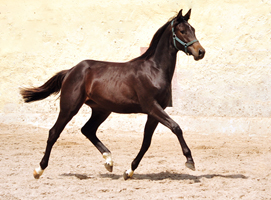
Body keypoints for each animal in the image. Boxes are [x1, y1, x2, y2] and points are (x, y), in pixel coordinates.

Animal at [20, 9, 205, 180]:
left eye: (193, 29)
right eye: (182, 31)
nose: (200, 52)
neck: (153, 71)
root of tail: (71, 71)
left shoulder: (154, 113)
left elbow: (146, 142)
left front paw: (129, 171)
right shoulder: (152, 107)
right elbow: (176, 127)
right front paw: (190, 161)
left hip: (102, 110)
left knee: (88, 130)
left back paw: (108, 161)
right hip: (70, 107)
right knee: (54, 133)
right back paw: (39, 170)